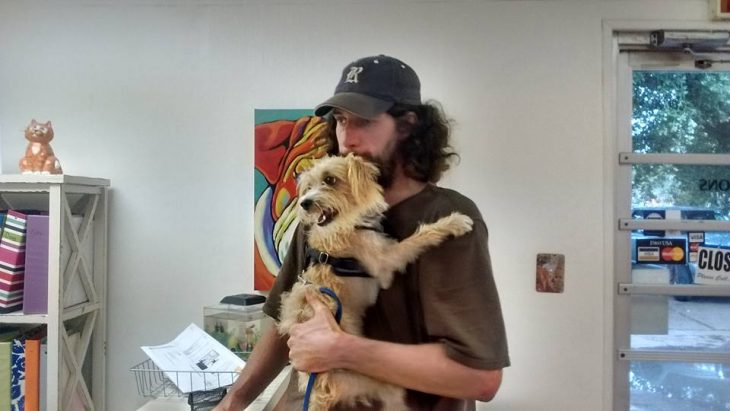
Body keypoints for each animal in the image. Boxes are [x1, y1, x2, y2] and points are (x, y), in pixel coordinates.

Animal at [278, 154, 472, 411]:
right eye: (308, 187)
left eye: (330, 180)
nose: (304, 203)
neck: (350, 225)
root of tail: (319, 392)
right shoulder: (385, 264)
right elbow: (418, 237)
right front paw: (454, 222)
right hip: (385, 386)